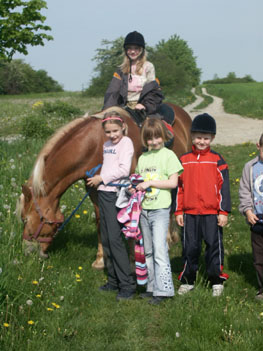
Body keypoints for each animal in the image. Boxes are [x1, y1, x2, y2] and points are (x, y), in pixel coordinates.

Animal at [17, 104, 193, 270]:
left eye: (25, 219)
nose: (27, 251)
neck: (96, 145)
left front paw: (132, 261)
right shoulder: (95, 190)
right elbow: (100, 221)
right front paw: (101, 260)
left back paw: (167, 240)